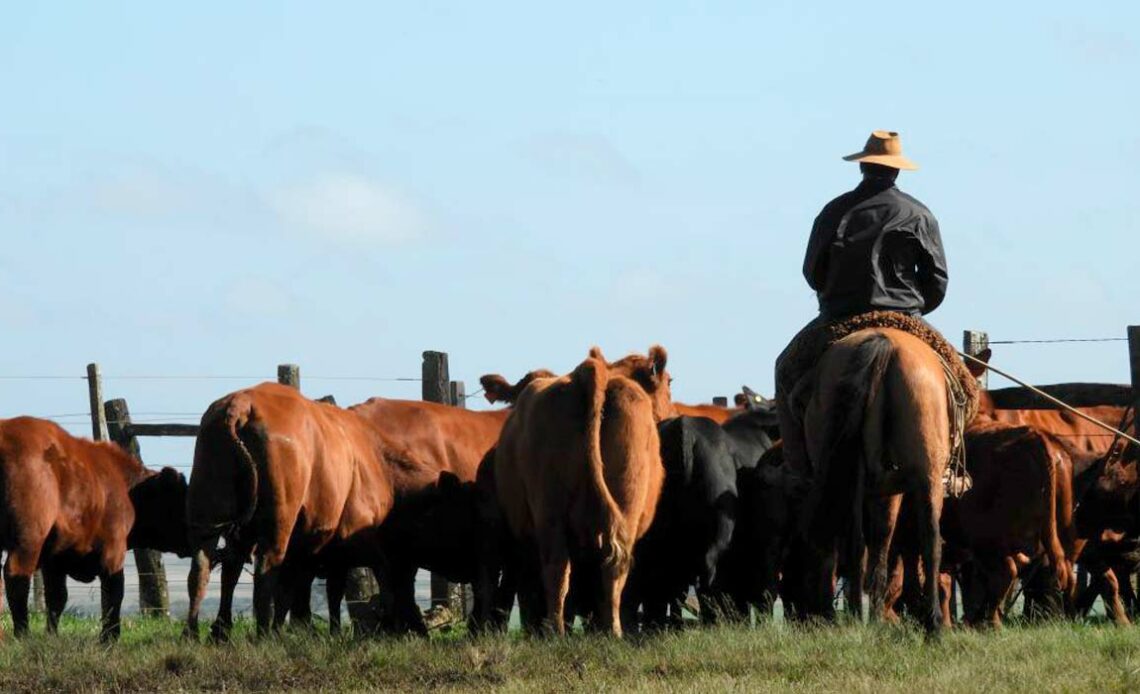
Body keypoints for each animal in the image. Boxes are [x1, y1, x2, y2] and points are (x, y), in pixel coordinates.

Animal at [0, 417, 186, 638]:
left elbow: (57, 598)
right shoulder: (113, 552)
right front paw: (109, 637)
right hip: (29, 539)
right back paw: (23, 636)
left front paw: (52, 636)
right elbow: (113, 595)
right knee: (16, 576)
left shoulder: (54, 560)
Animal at [186, 380, 401, 638]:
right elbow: (325, 589)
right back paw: (263, 634)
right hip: (277, 523)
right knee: (265, 572)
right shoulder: (338, 544)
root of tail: (241, 404)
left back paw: (204, 632)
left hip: (207, 516)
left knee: (203, 568)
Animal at [494, 344, 670, 638]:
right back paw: (599, 631)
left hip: (553, 511)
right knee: (593, 569)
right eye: (670, 383)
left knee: (567, 568)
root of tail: (589, 373)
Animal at [802, 325, 953, 633]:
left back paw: (851, 616)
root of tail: (884, 345)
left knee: (852, 542)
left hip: (853, 471)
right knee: (929, 539)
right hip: (925, 472)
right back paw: (932, 623)